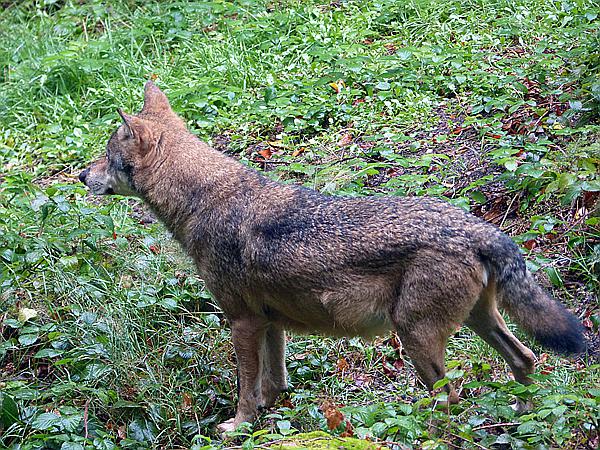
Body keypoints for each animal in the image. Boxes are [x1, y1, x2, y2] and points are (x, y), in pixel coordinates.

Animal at [79, 81, 584, 432]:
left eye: (105, 155)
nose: (81, 175)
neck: (205, 200)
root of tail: (479, 227)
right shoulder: (270, 322)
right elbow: (274, 382)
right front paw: (269, 417)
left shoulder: (242, 321)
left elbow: (245, 388)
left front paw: (237, 427)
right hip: (478, 323)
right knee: (525, 360)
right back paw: (523, 415)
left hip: (415, 338)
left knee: (451, 401)